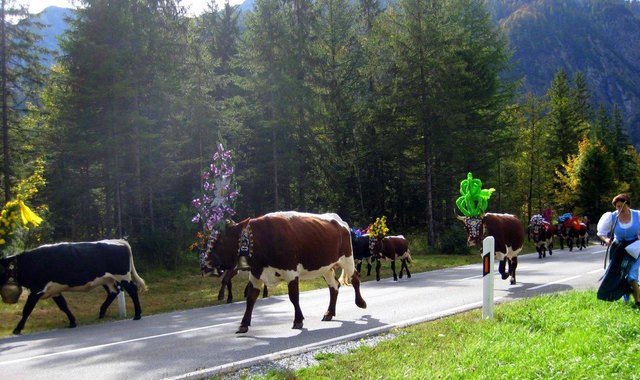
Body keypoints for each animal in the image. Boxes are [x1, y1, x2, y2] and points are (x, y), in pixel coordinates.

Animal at [202, 211, 368, 332]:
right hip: (326, 266)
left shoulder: (290, 272)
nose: (205, 264)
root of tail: (338, 219)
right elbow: (250, 298)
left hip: (347, 258)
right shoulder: (256, 273)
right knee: (334, 286)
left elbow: (294, 297)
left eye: (222, 240)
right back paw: (329, 313)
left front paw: (298, 320)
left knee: (355, 278)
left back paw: (360, 303)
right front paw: (243, 324)